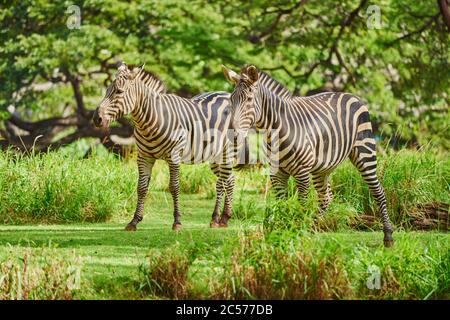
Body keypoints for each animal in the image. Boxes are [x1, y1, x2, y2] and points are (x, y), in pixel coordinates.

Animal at [93, 62, 237, 231]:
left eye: (119, 92)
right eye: (107, 91)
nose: (96, 119)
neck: (151, 120)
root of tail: (225, 93)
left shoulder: (174, 157)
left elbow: (174, 187)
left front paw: (177, 222)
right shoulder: (144, 157)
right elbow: (141, 188)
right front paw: (134, 221)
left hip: (227, 150)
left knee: (223, 181)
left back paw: (219, 218)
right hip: (213, 155)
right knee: (229, 179)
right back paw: (223, 217)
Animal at [221, 63, 394, 246]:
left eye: (248, 99)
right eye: (231, 100)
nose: (232, 136)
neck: (277, 129)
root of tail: (349, 95)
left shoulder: (302, 172)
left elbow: (301, 205)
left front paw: (296, 234)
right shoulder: (276, 174)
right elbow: (283, 205)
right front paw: (283, 235)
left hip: (365, 152)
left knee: (378, 191)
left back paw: (388, 235)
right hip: (322, 168)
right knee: (326, 197)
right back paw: (312, 227)